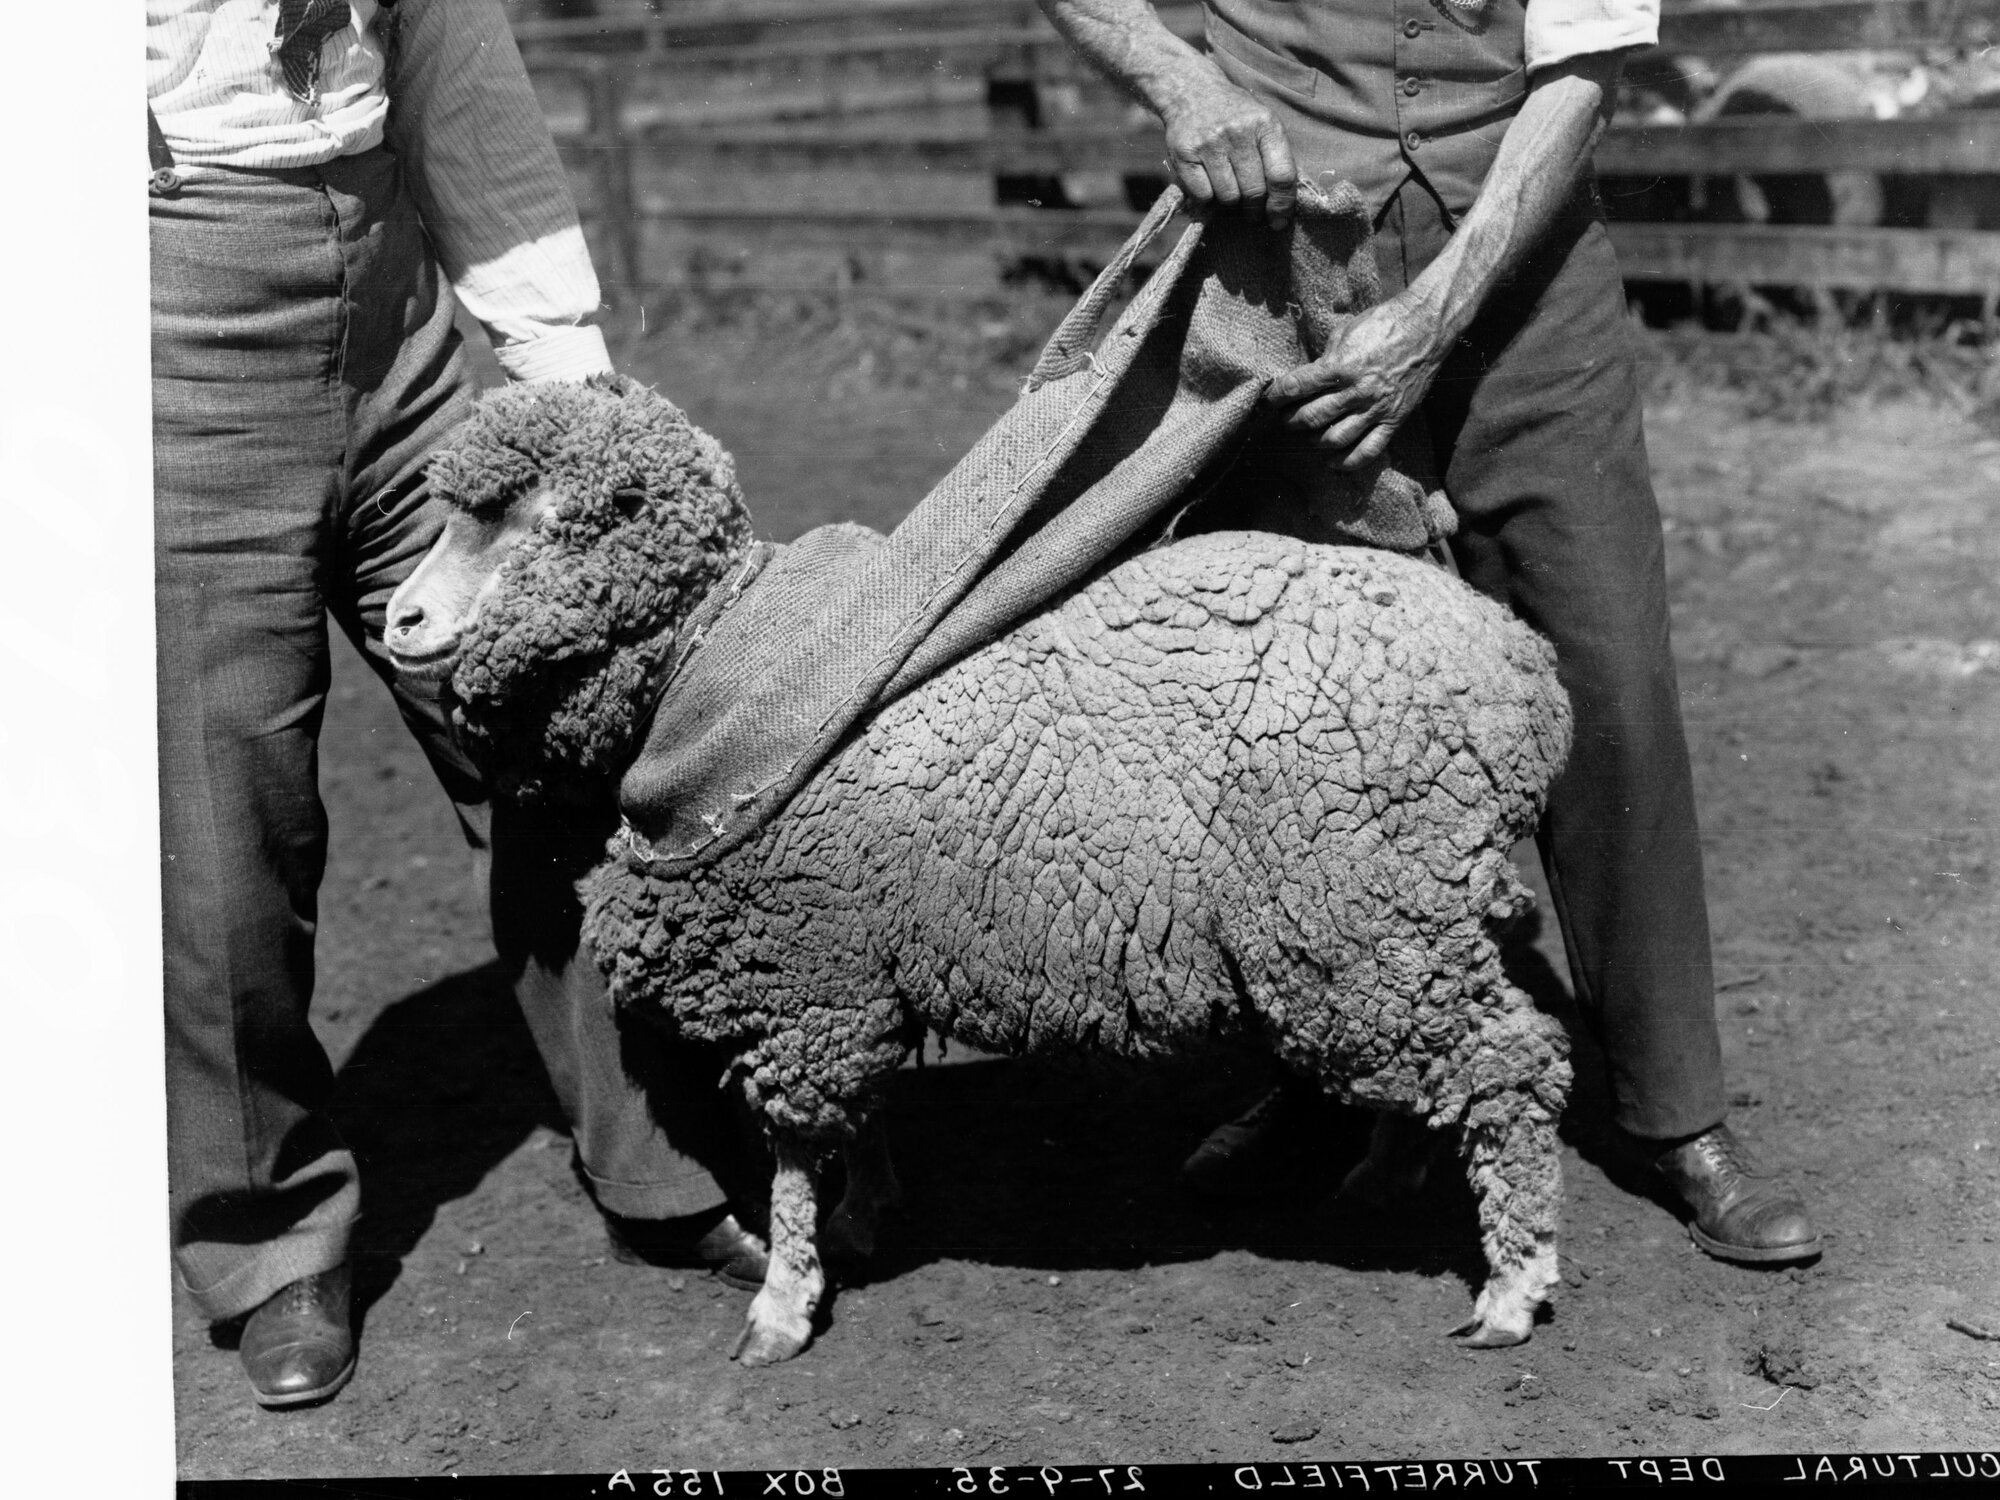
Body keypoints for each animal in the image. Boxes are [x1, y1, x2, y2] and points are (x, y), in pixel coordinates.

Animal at [386, 375, 1575, 1367]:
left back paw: (1511, 1287)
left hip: (1353, 912)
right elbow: (854, 1118)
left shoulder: (800, 973)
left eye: (526, 521)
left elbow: (791, 1150)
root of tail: (1523, 674)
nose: (399, 618)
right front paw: (865, 1214)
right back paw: (1387, 1172)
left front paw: (783, 1301)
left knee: (1511, 1065)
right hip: (1389, 923)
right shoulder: (848, 964)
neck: (720, 673)